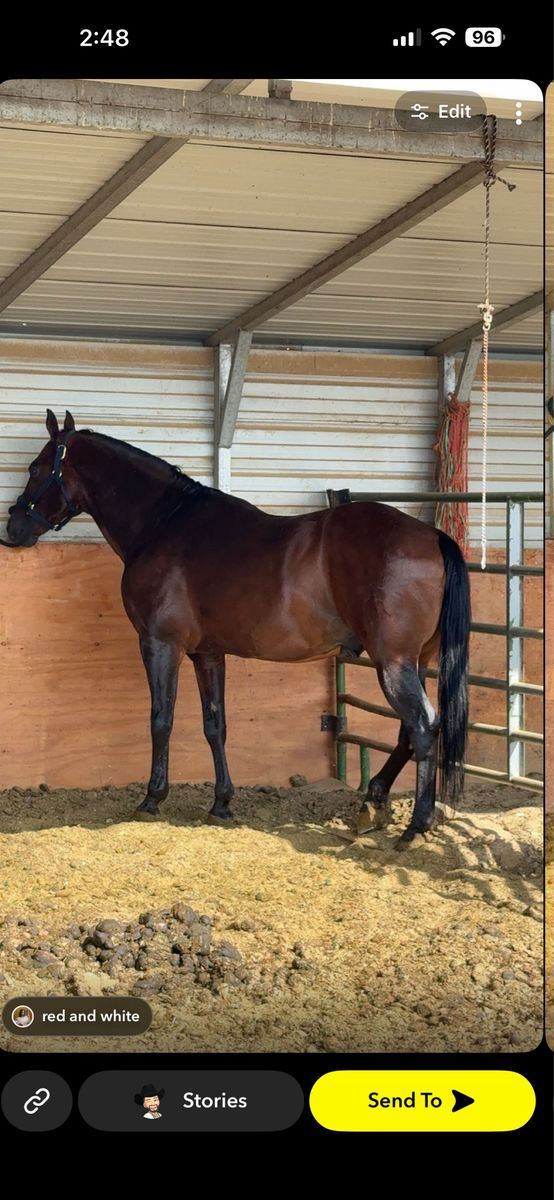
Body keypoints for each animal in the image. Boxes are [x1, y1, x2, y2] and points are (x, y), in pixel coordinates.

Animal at [1, 409, 470, 849]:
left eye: (36, 469)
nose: (13, 528)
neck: (163, 523)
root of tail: (433, 537)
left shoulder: (160, 644)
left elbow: (161, 719)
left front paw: (152, 798)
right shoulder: (208, 653)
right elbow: (216, 725)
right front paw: (221, 803)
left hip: (393, 662)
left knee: (422, 727)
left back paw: (415, 826)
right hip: (415, 661)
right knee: (410, 730)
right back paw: (372, 803)